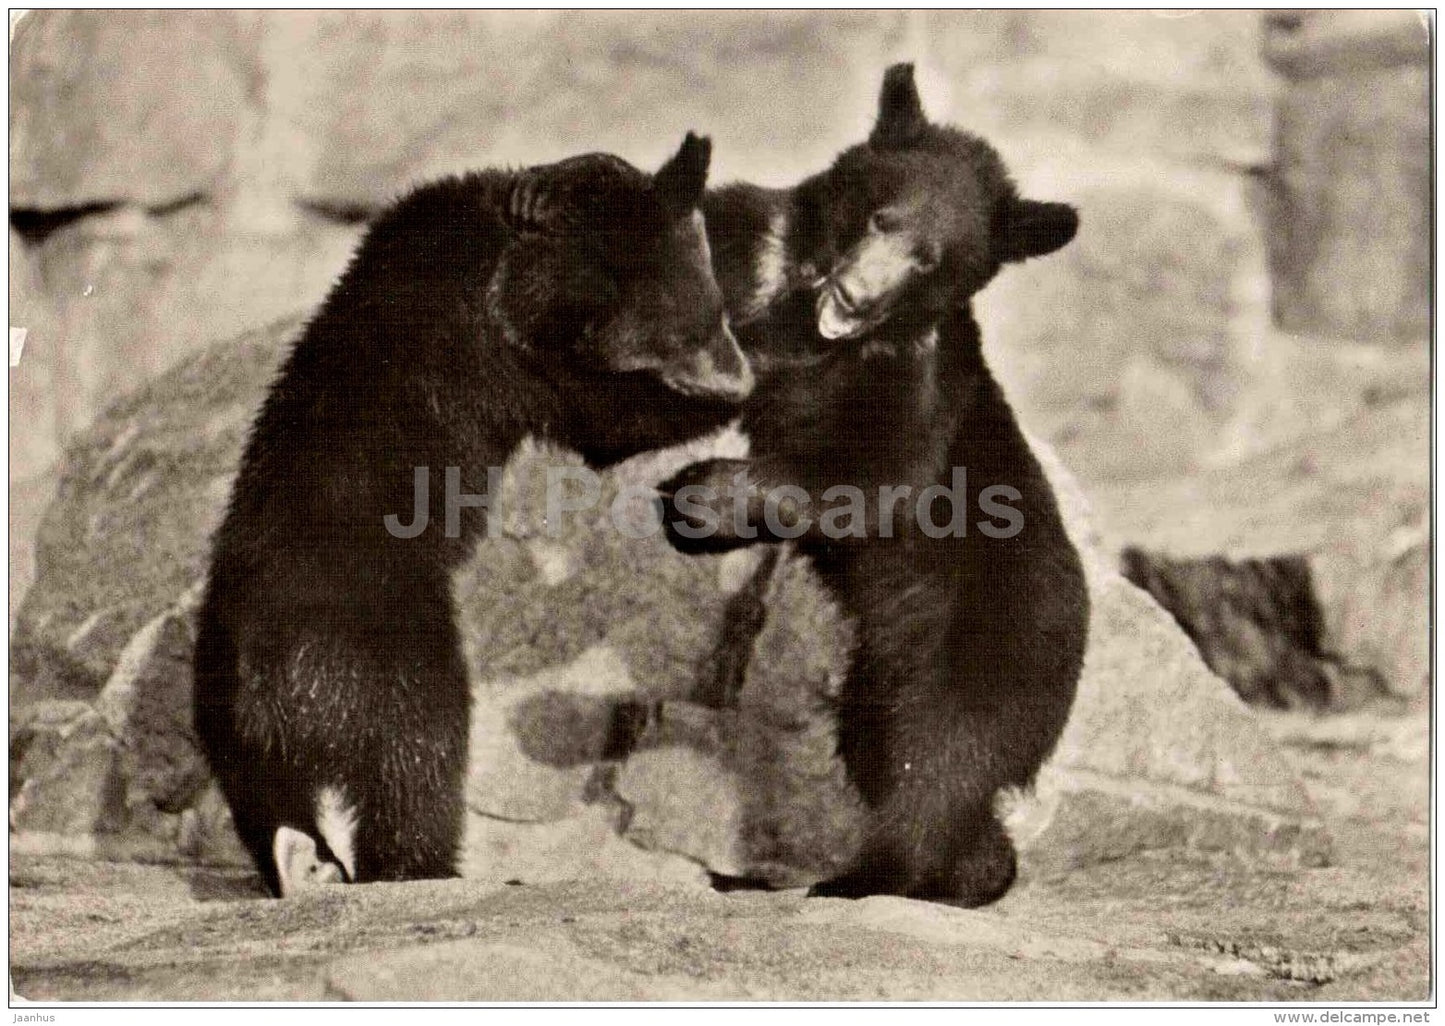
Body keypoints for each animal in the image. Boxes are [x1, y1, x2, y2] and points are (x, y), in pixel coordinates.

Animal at [193, 133, 755, 897]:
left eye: (715, 311)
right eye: (701, 325)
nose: (733, 371)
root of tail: (266, 681)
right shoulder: (498, 350)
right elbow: (602, 417)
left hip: (225, 721)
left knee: (267, 798)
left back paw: (303, 862)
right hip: (381, 648)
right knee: (418, 753)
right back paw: (421, 867)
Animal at [660, 64, 1090, 905]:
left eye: (928, 259)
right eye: (879, 217)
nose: (856, 297)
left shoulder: (912, 370)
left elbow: (873, 476)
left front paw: (699, 497)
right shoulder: (748, 246)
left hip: (993, 646)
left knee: (938, 763)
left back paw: (863, 878)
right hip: (883, 668)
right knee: (882, 750)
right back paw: (965, 874)